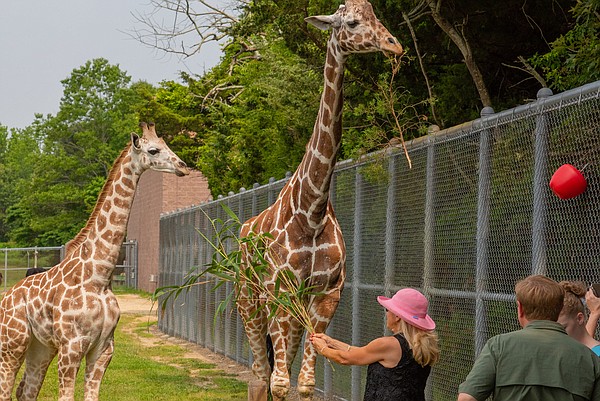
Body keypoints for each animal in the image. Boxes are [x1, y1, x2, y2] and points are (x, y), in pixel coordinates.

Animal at [0, 122, 188, 400]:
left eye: (167, 145)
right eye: (153, 150)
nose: (183, 166)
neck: (99, 275)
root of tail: (5, 298)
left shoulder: (104, 348)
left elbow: (91, 395)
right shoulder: (71, 347)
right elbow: (66, 396)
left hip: (40, 346)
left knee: (26, 390)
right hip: (13, 344)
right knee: (7, 389)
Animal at [237, 1, 400, 398]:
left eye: (376, 16)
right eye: (352, 22)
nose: (395, 45)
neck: (311, 210)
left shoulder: (326, 294)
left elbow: (306, 381)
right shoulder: (279, 293)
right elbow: (280, 383)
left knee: (271, 368)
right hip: (249, 300)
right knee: (260, 373)